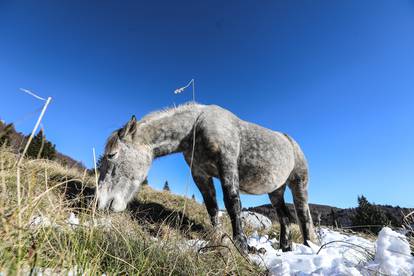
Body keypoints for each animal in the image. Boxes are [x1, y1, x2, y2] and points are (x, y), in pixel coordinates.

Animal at [98, 103, 316, 252]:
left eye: (112, 155)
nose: (101, 203)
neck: (196, 126)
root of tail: (291, 142)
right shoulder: (200, 174)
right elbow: (212, 207)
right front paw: (218, 238)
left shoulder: (227, 165)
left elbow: (232, 203)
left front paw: (242, 246)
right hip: (276, 190)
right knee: (285, 217)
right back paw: (286, 247)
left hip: (298, 183)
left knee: (303, 215)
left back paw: (308, 247)